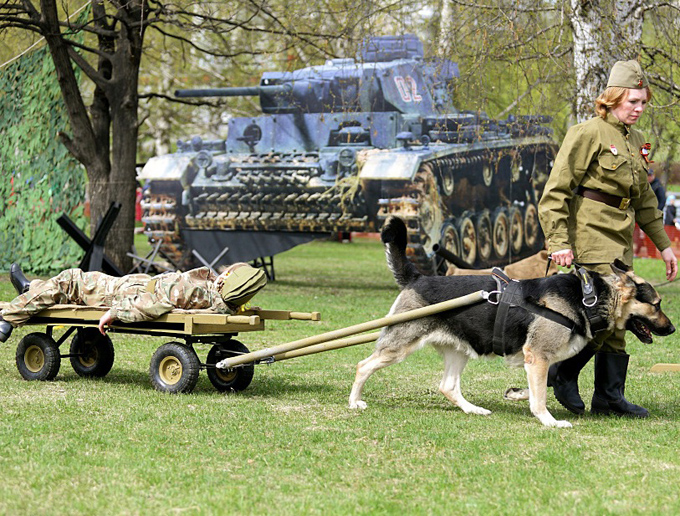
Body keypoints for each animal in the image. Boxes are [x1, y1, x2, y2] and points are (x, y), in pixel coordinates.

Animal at [350, 216, 676, 426]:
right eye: (657, 304)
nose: (673, 329)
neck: (590, 297)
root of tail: (417, 278)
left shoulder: (539, 361)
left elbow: (543, 385)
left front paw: (519, 395)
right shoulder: (538, 356)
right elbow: (541, 395)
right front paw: (549, 421)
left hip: (458, 351)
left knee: (448, 387)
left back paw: (473, 410)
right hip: (399, 346)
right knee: (362, 365)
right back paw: (354, 402)